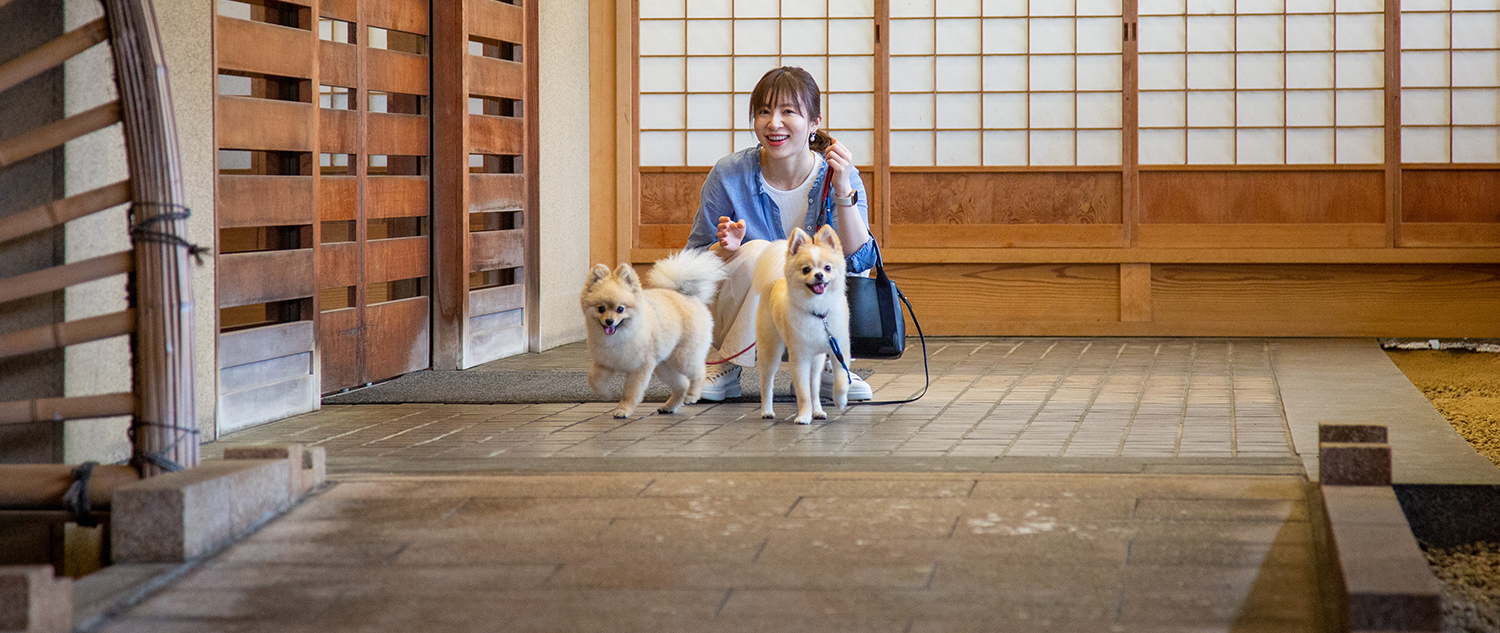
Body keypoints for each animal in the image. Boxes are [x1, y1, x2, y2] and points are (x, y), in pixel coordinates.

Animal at [579, 249, 726, 417]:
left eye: (620, 309)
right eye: (601, 308)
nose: (609, 321)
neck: (621, 335)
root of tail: (686, 295)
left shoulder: (640, 368)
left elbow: (630, 391)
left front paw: (623, 409)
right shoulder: (605, 362)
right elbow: (593, 379)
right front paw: (604, 393)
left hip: (683, 357)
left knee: (698, 373)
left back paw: (692, 395)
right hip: (664, 366)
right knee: (682, 383)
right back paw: (670, 406)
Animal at [756, 225, 852, 423]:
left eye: (828, 268)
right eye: (806, 269)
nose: (819, 275)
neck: (819, 314)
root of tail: (776, 280)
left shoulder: (839, 350)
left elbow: (840, 379)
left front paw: (840, 400)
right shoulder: (800, 359)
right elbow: (803, 393)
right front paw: (804, 416)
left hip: (817, 361)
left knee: (815, 387)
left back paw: (818, 411)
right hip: (771, 351)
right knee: (767, 383)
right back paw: (767, 411)